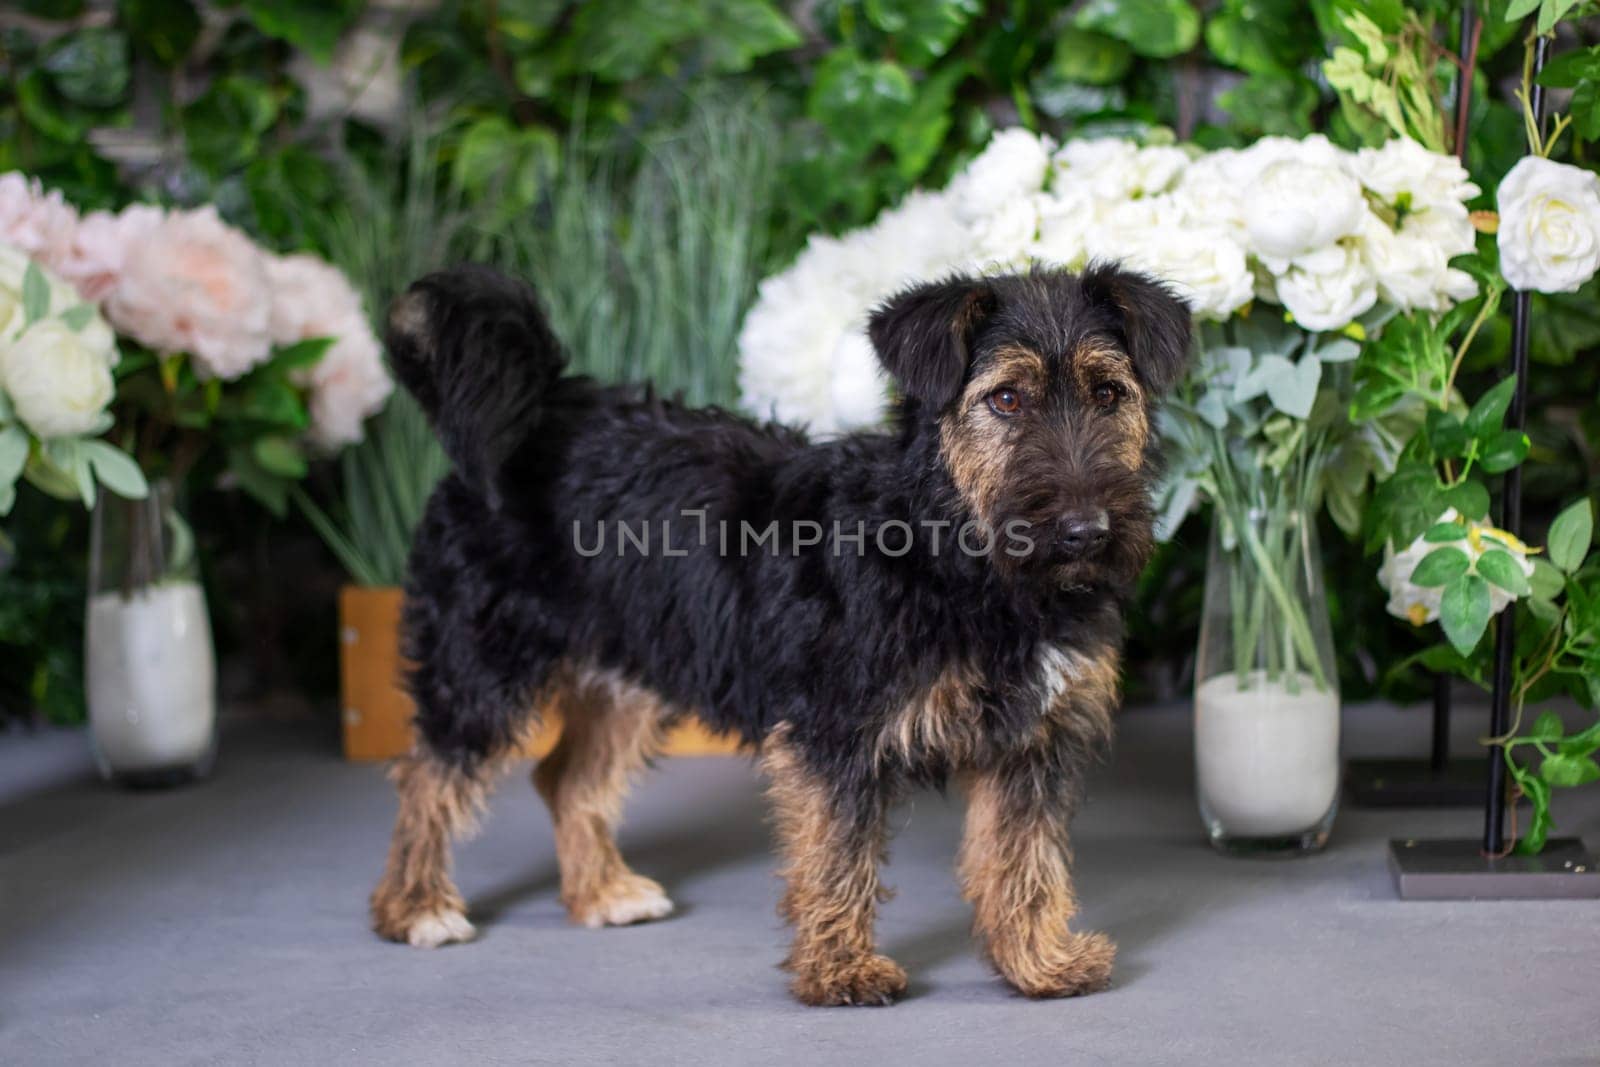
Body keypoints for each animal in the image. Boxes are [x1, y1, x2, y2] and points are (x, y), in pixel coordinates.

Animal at [366, 262, 1190, 1004]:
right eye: (1007, 398)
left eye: (1108, 392)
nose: (1086, 530)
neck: (951, 547)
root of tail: (537, 417)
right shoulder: (836, 732)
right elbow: (837, 856)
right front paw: (840, 971)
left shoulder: (1034, 741)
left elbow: (1025, 859)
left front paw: (1036, 962)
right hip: (481, 663)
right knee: (428, 776)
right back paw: (416, 907)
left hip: (628, 670)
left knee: (566, 777)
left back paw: (601, 893)